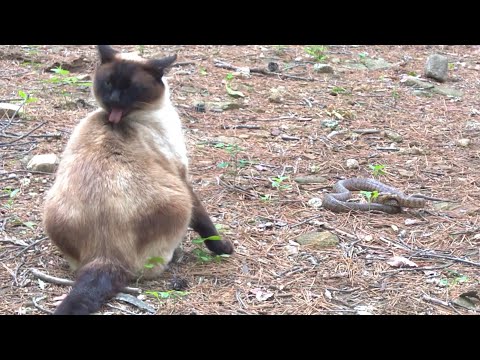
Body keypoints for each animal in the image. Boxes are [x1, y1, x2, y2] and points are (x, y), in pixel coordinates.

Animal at [42, 45, 233, 316]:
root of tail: (104, 256)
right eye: (109, 83)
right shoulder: (182, 178)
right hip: (178, 202)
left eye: (130, 88)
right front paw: (224, 248)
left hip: (50, 206)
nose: (113, 99)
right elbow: (206, 224)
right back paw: (176, 255)